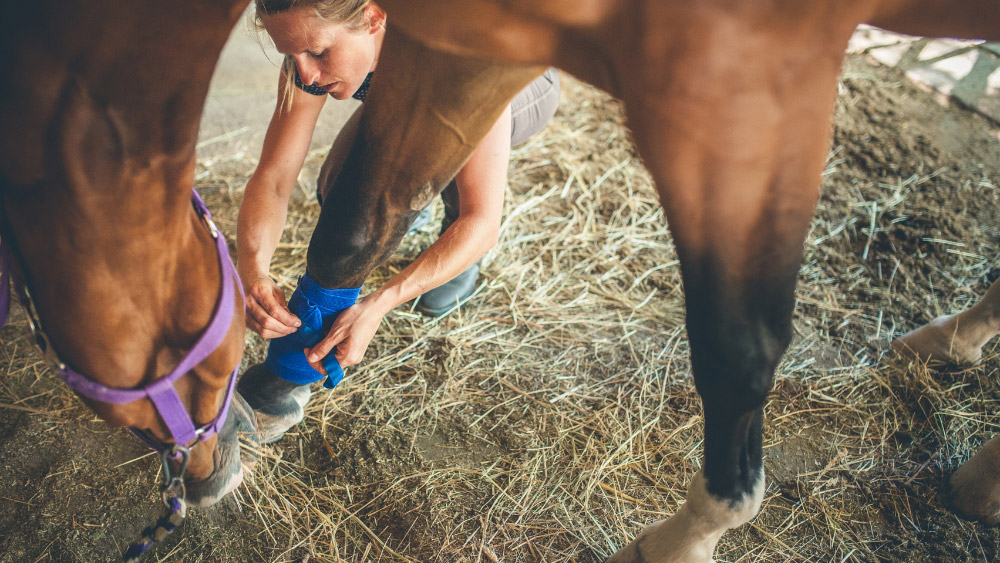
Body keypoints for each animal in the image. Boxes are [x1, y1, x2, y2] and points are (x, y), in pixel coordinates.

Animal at [278, 1, 1000, 563]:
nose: (309, 84)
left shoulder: (749, 72)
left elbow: (738, 353)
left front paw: (676, 545)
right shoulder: (464, 43)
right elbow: (354, 227)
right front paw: (286, 368)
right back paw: (960, 398)